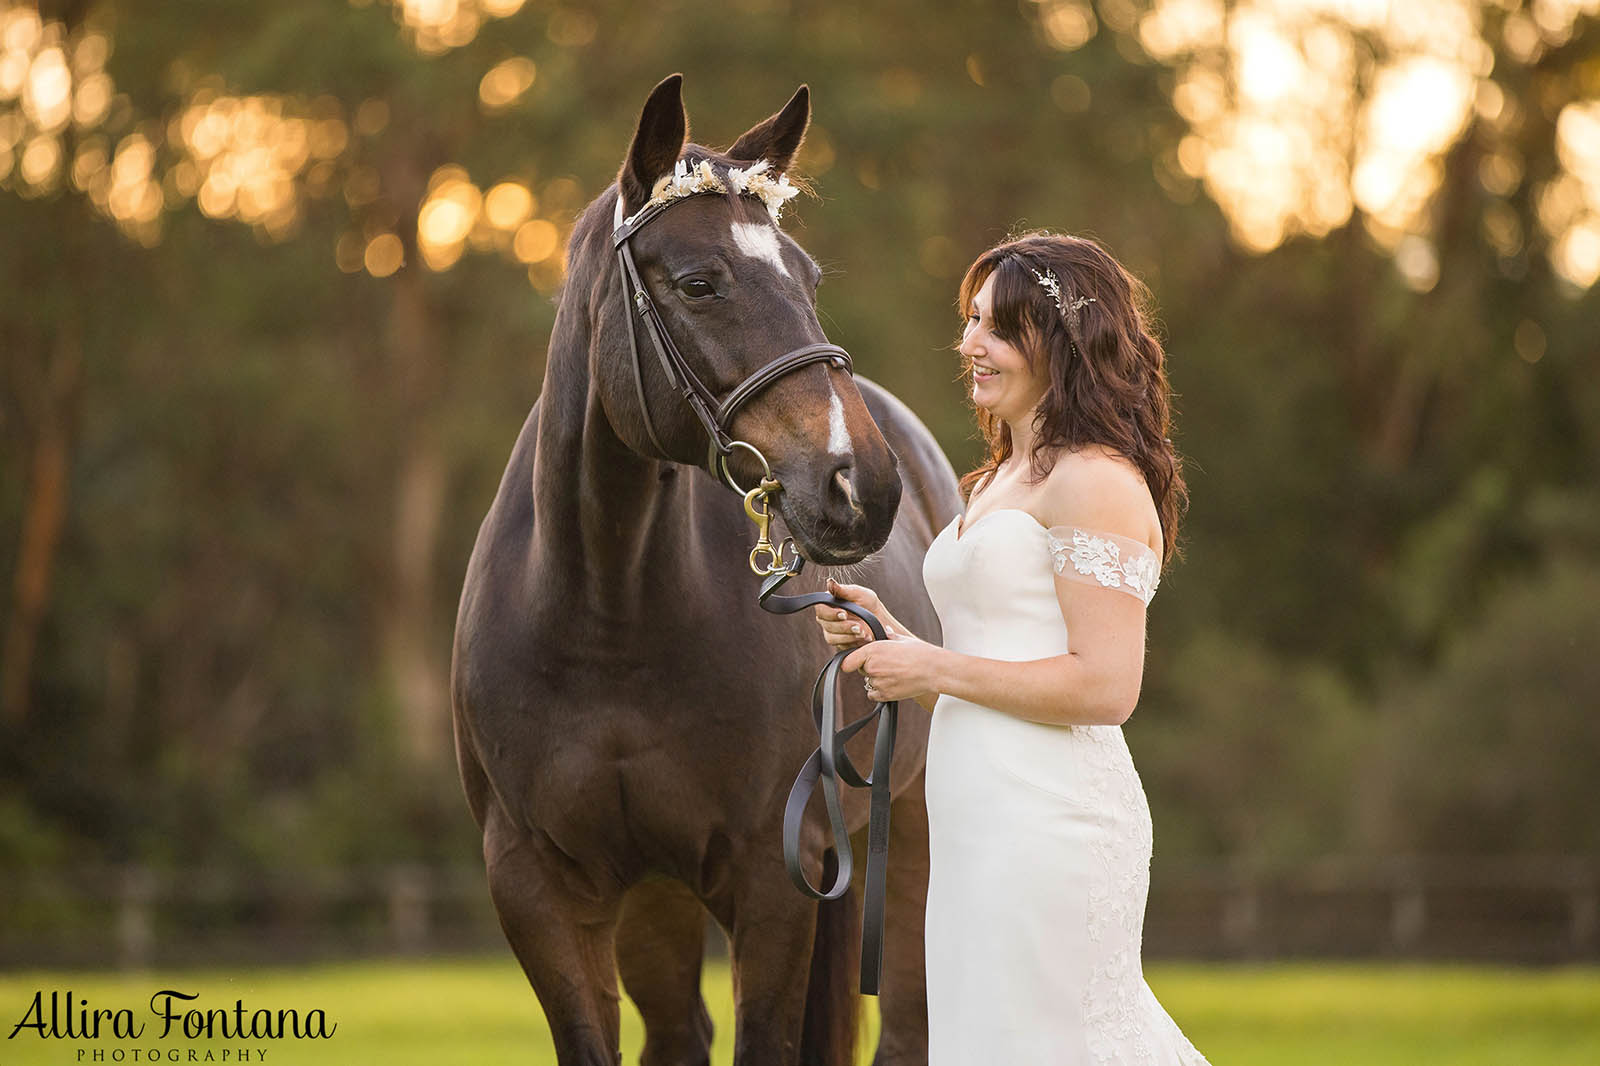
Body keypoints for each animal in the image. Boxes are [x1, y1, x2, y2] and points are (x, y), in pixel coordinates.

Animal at [451, 76, 953, 1062]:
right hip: (658, 901)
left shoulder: (774, 874)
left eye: (808, 280)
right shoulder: (535, 887)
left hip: (904, 845)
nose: (861, 484)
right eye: (698, 283)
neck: (605, 620)